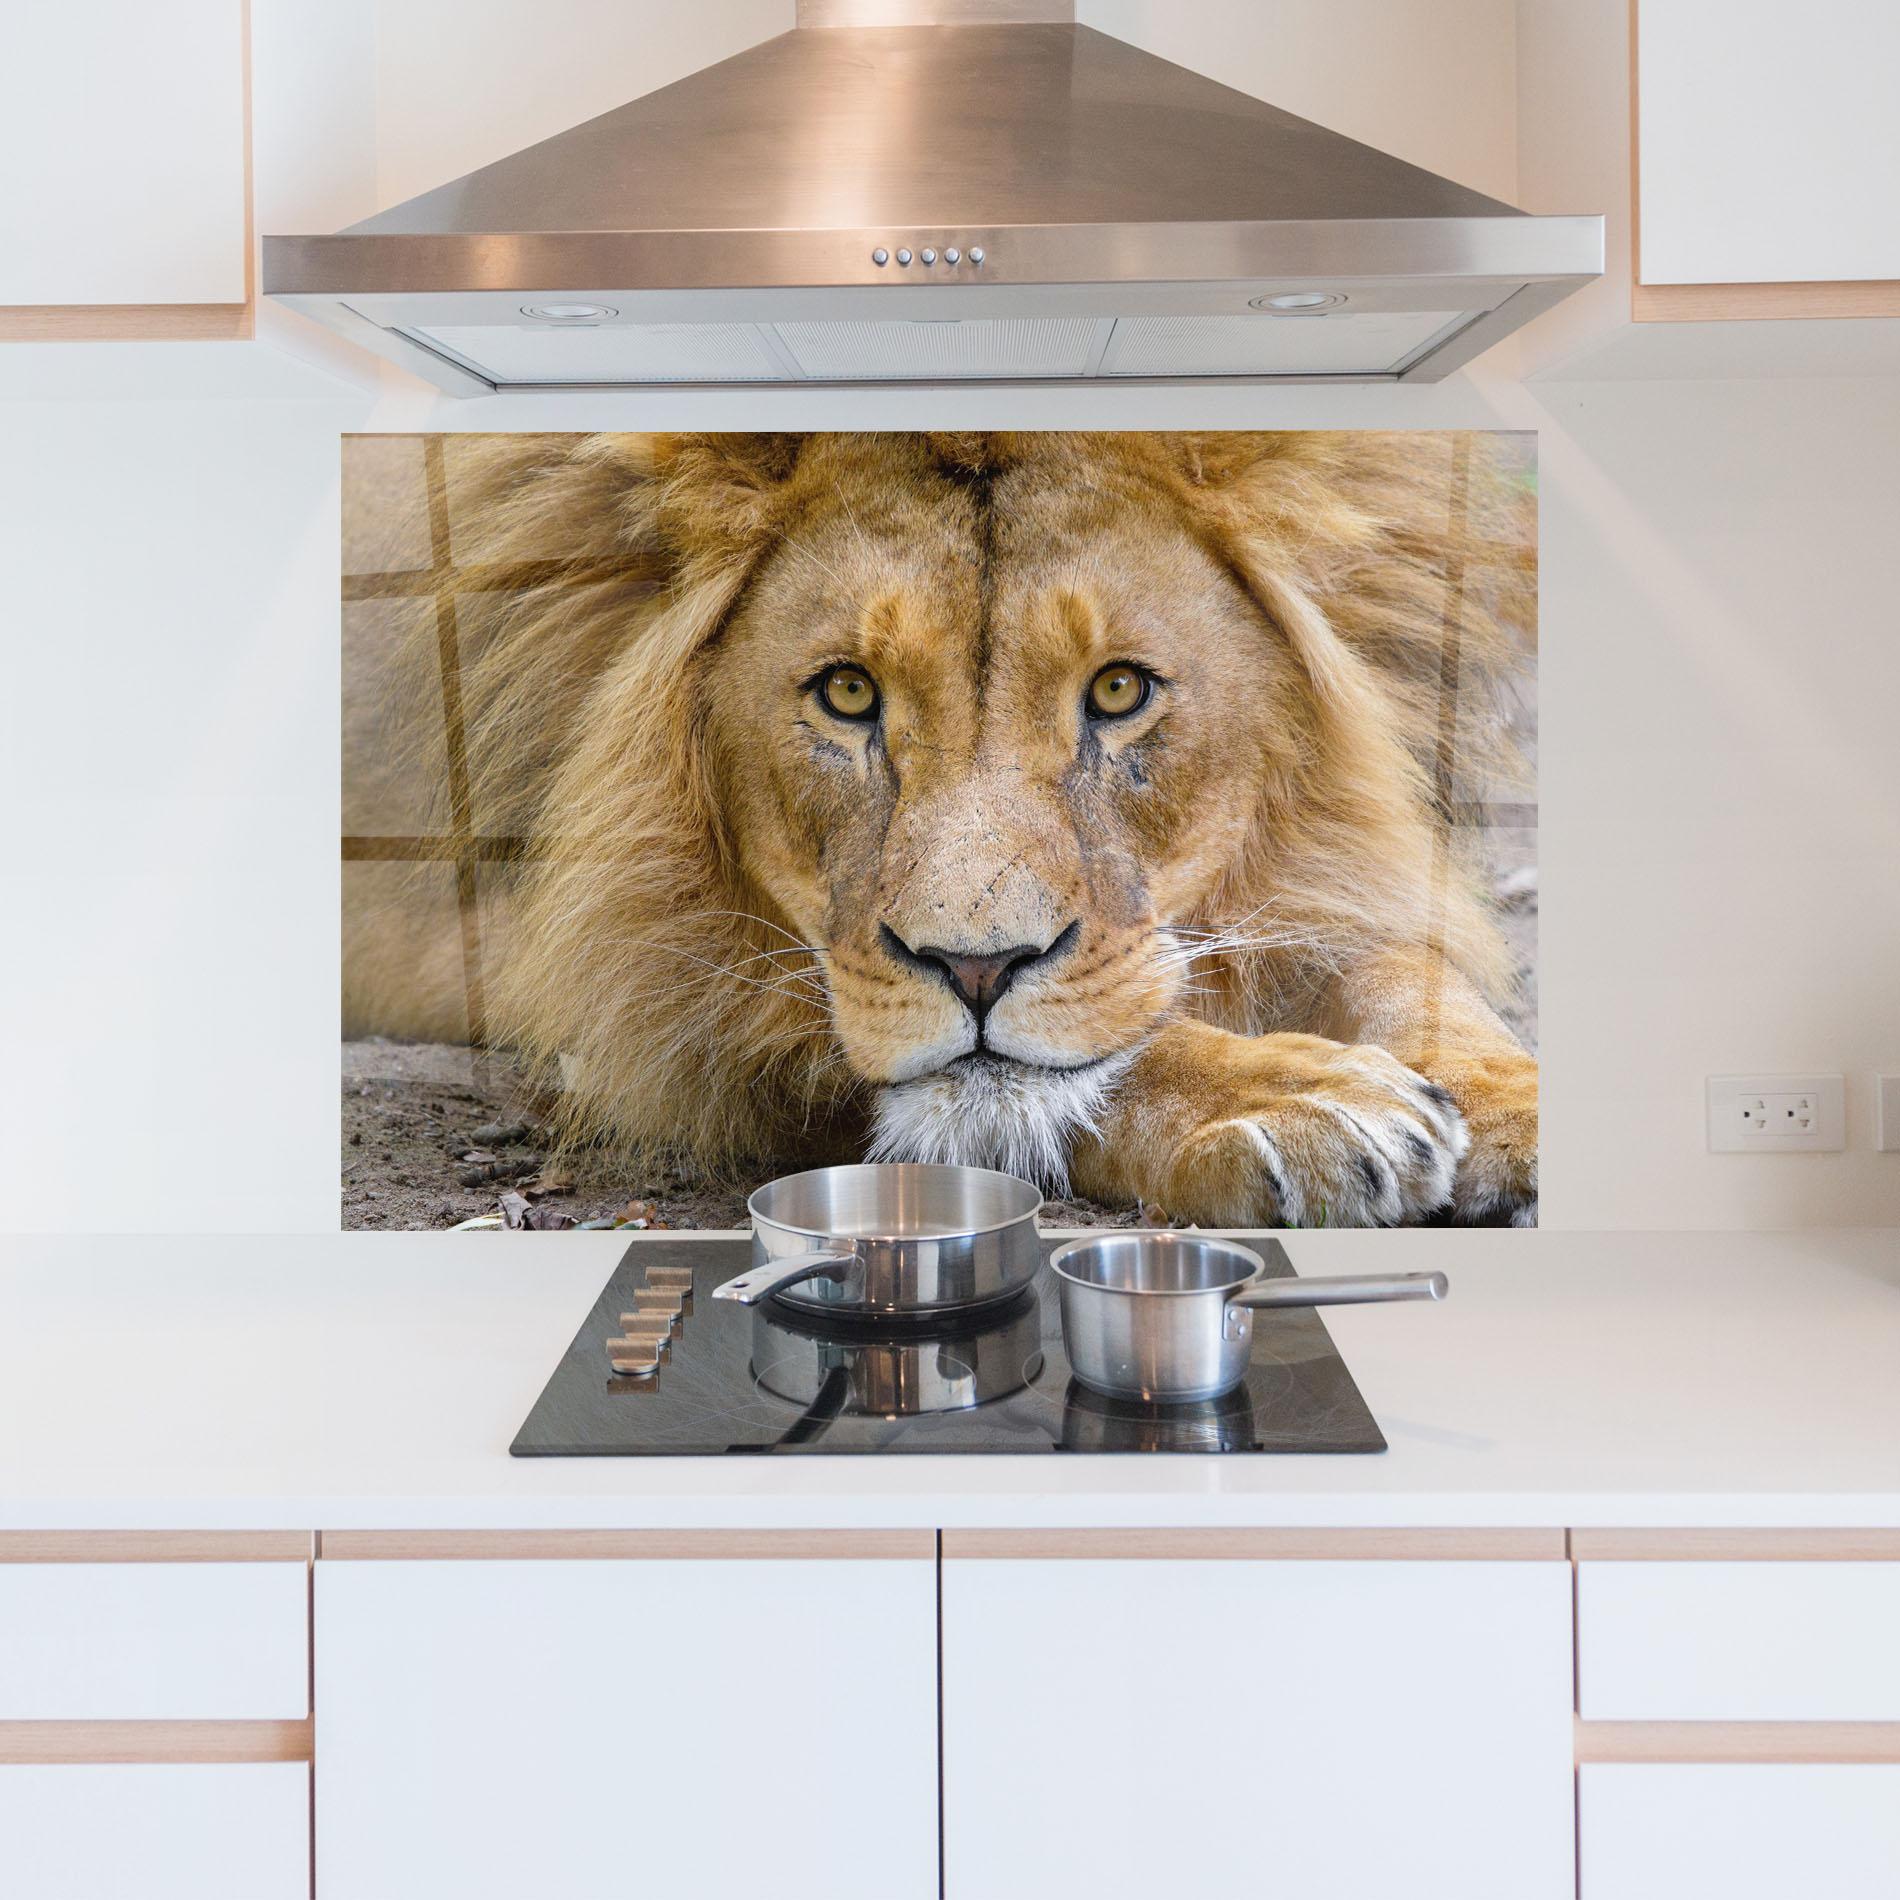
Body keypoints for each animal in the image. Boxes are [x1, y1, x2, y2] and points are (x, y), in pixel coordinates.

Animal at [344, 431, 1537, 1227]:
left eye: (1117, 690)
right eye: (847, 694)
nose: (976, 968)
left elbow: (1401, 969)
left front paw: (1515, 1109)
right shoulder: (630, 981)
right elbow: (1088, 1067)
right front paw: (1298, 1100)